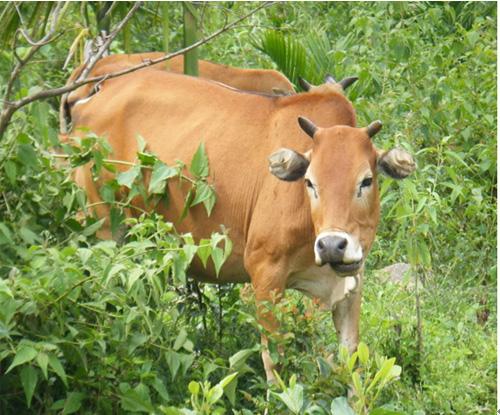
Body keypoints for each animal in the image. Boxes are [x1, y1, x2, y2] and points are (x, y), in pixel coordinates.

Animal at [69, 70, 414, 382]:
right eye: (309, 182)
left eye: (366, 181)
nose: (331, 246)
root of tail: (94, 96)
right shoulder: (264, 274)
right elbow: (275, 362)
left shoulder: (352, 280)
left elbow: (350, 365)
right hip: (99, 228)